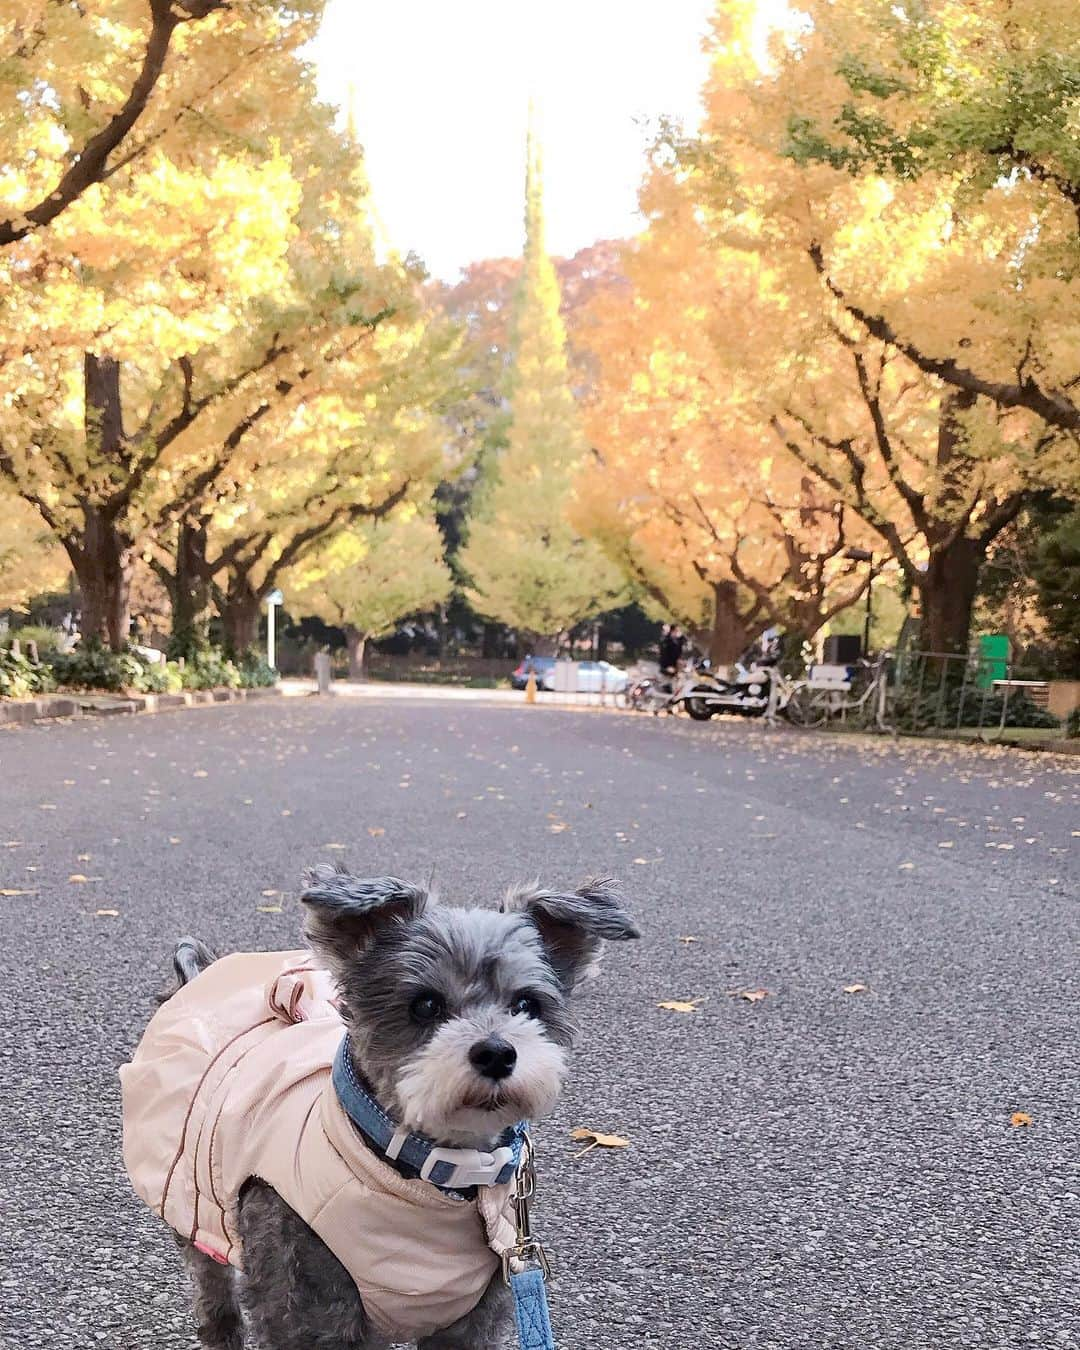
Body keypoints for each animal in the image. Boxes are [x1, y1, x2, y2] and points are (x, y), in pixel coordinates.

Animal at [125, 864, 631, 1350]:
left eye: (527, 1005)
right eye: (425, 1005)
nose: (497, 1052)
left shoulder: (472, 1322)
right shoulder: (306, 1310)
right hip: (198, 1208)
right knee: (210, 1280)